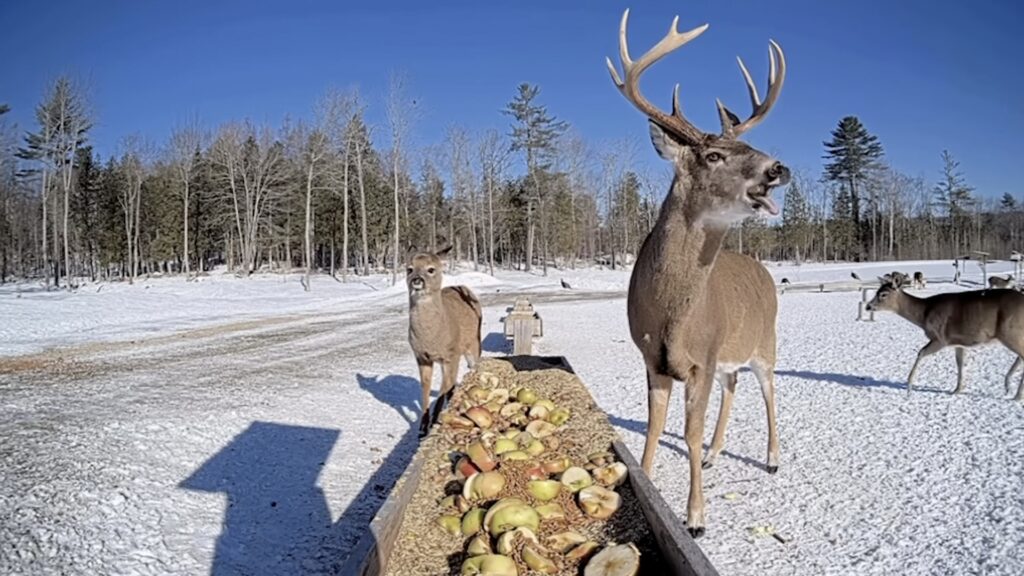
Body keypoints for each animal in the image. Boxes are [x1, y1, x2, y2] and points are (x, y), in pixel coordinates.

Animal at [406, 245, 483, 437]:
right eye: (409, 269)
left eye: (431, 269)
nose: (417, 280)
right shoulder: (421, 357)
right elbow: (425, 388)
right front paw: (422, 427)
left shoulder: (451, 355)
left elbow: (442, 389)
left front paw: (434, 422)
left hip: (473, 344)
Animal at [606, 8, 788, 537]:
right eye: (713, 155)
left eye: (752, 144)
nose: (778, 168)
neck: (671, 314)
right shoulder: (653, 358)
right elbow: (653, 427)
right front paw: (647, 481)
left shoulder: (701, 359)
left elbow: (686, 433)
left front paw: (695, 518)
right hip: (730, 354)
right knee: (734, 388)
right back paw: (715, 453)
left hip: (765, 340)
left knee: (770, 389)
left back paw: (772, 458)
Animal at [866, 280, 1024, 400]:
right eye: (877, 291)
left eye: (883, 294)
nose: (868, 306)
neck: (923, 315)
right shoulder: (959, 342)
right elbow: (960, 363)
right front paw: (957, 390)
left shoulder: (941, 338)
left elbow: (920, 353)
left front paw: (909, 389)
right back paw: (1007, 386)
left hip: (1009, 332)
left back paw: (1017, 396)